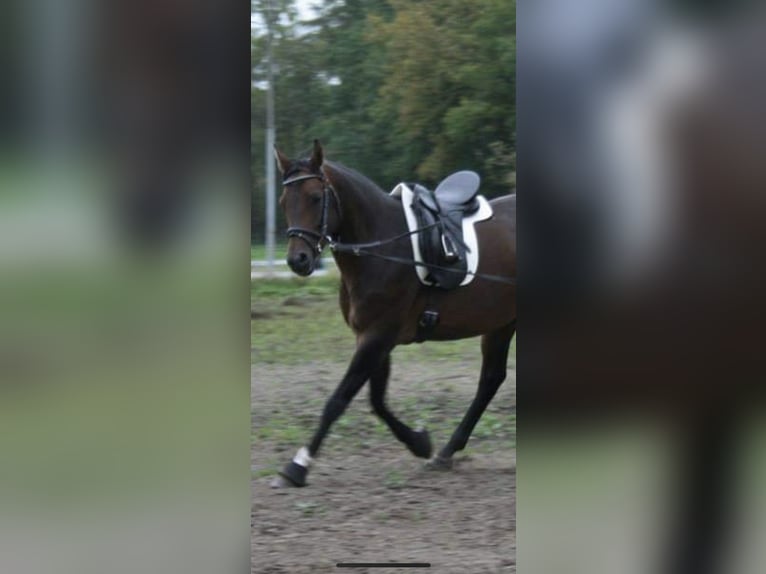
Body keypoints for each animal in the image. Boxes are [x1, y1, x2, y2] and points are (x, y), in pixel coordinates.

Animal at [270, 142, 516, 488]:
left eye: (315, 198)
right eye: (283, 202)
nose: (298, 261)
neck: (381, 247)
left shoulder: (377, 337)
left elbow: (338, 400)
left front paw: (297, 466)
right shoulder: (373, 338)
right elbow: (377, 401)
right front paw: (420, 442)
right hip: (501, 322)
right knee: (491, 379)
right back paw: (445, 453)